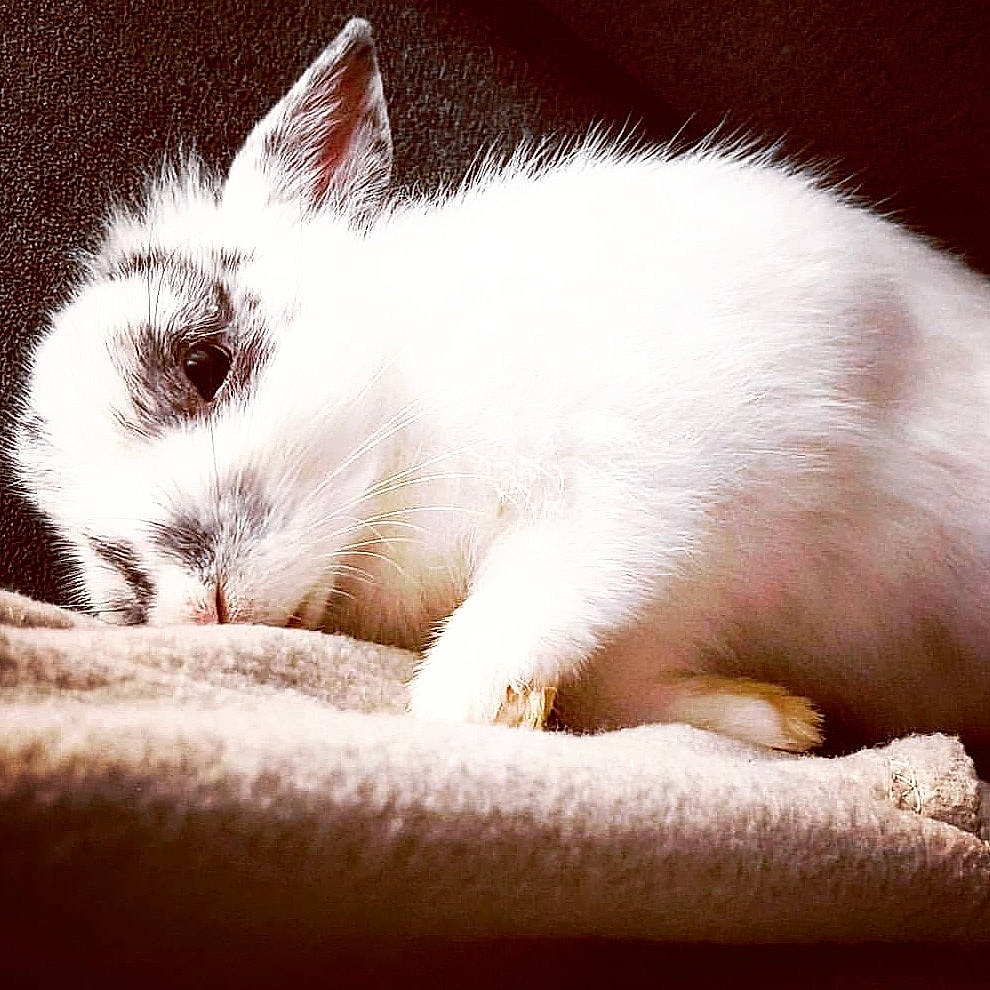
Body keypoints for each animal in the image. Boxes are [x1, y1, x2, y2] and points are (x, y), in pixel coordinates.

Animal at [12, 17, 990, 754]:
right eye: (106, 557)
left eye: (205, 365)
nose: (203, 609)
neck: (403, 448)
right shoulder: (646, 627)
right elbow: (623, 687)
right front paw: (783, 721)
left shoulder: (645, 470)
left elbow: (551, 581)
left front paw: (456, 698)